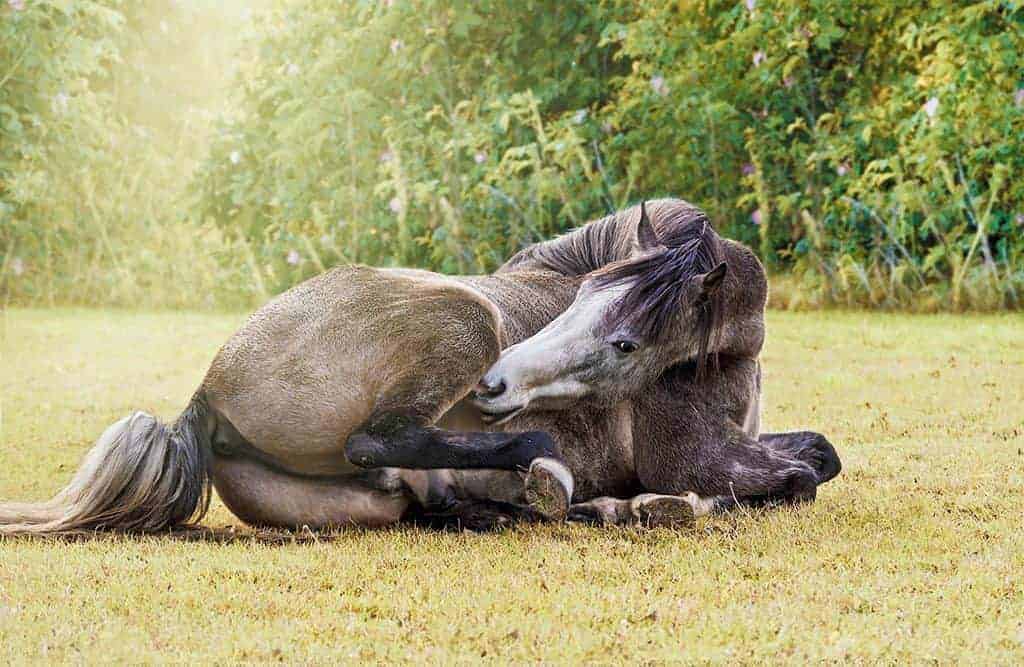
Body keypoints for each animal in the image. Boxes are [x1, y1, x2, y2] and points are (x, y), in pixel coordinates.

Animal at [0, 199, 839, 535]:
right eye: (579, 300)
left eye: (625, 341)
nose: (497, 384)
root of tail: (208, 394)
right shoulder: (695, 454)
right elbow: (805, 472)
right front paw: (674, 501)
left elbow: (816, 453)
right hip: (464, 321)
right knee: (381, 438)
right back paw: (546, 467)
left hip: (370, 503)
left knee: (425, 498)